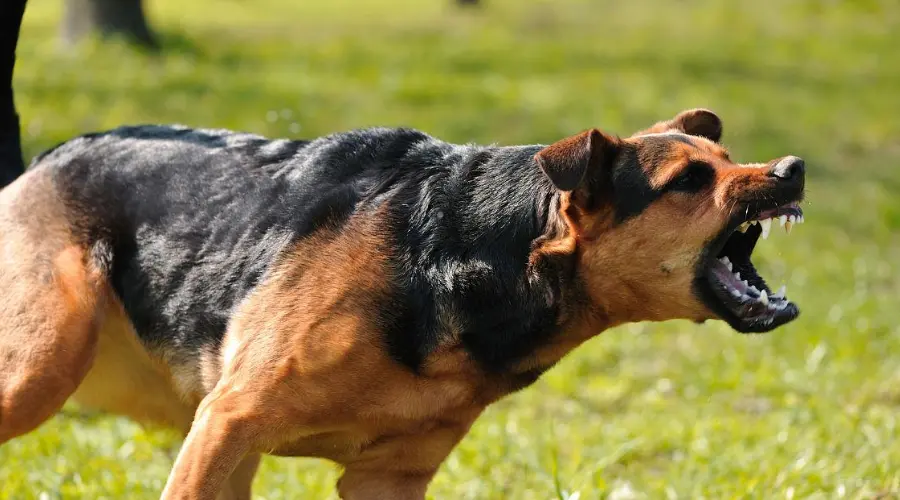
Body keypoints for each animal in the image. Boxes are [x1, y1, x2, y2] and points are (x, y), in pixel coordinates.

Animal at [0, 110, 804, 500]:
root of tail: (46, 158)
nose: (792, 169)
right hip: (44, 368)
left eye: (725, 159)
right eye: (690, 180)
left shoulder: (385, 479)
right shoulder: (230, 420)